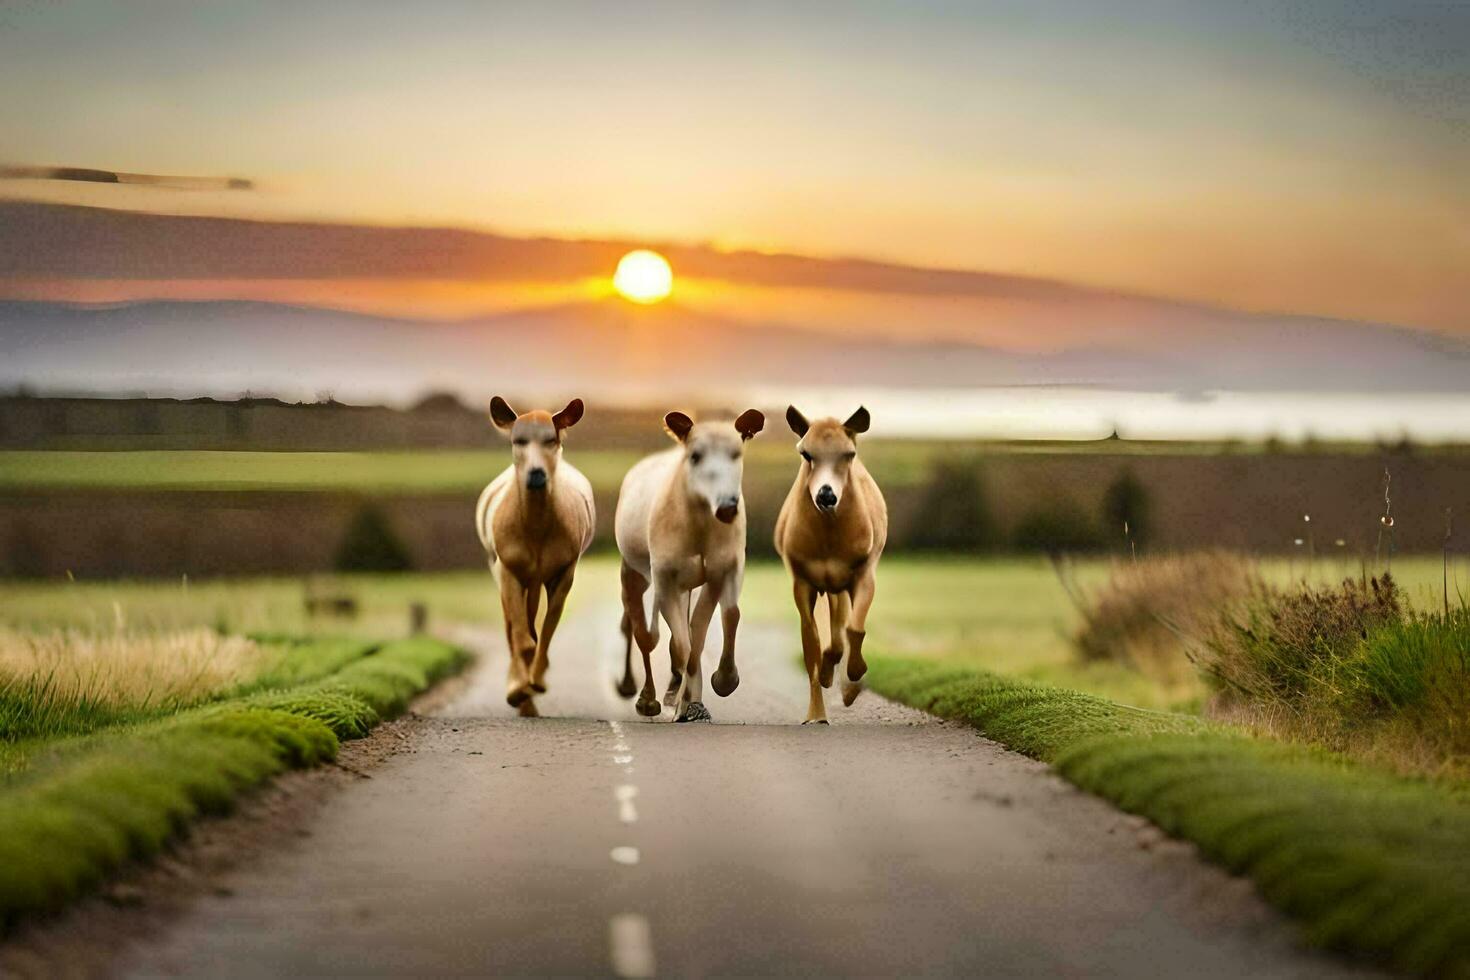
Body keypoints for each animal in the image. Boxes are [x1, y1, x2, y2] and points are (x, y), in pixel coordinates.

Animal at [473, 393, 593, 717]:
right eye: (518, 440)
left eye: (551, 439)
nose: (536, 475)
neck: (536, 529)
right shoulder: (507, 568)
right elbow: (521, 638)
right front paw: (517, 690)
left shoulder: (565, 570)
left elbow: (546, 631)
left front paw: (536, 682)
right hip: (501, 568)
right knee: (511, 628)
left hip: (538, 578)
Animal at [611, 405, 764, 719]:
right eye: (695, 455)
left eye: (737, 453)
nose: (727, 506)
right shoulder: (665, 579)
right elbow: (682, 643)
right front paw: (681, 703)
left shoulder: (723, 570)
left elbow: (712, 625)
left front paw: (718, 685)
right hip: (634, 573)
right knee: (643, 633)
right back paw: (646, 697)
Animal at [776, 405, 887, 719]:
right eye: (806, 453)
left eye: (849, 454)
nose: (826, 495)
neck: (828, 537)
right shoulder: (802, 581)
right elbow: (811, 644)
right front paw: (816, 713)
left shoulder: (863, 573)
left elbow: (854, 628)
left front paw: (853, 683)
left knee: (843, 627)